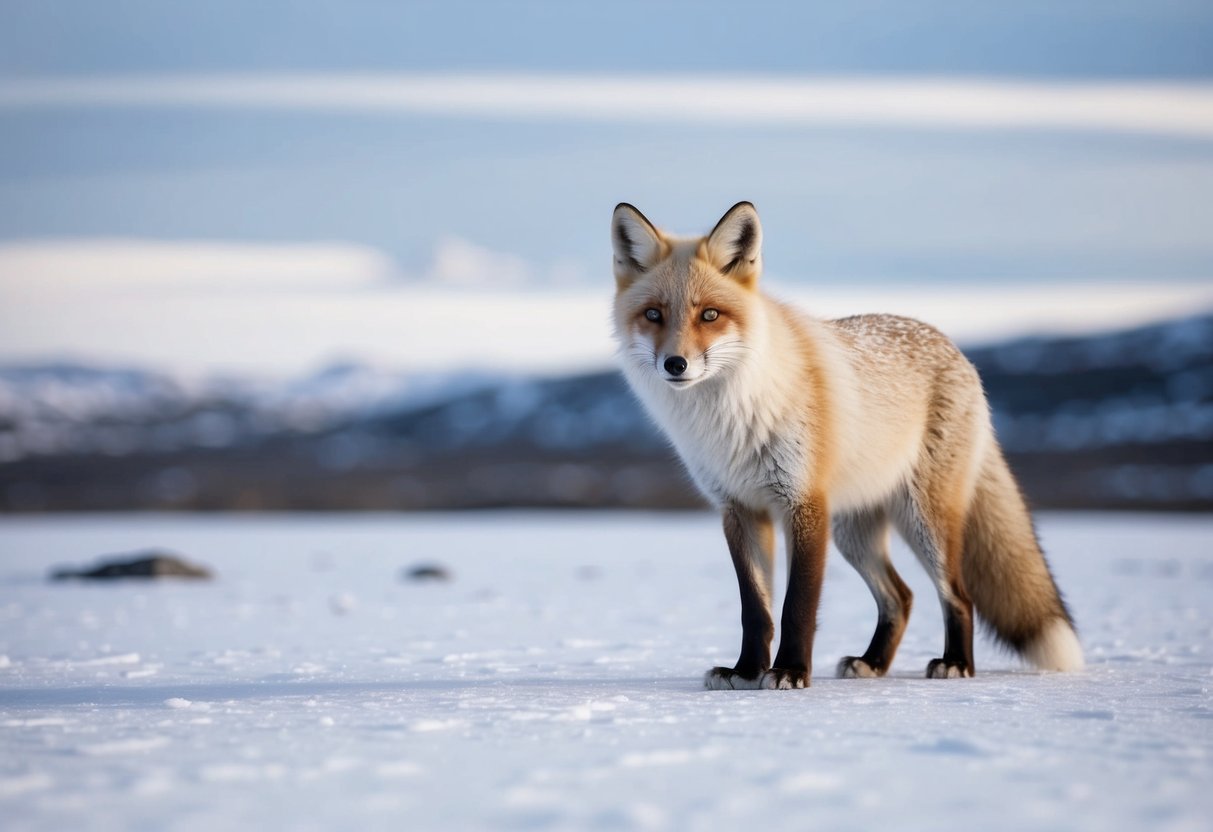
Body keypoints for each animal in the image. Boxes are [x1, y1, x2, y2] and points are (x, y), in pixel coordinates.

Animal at [611, 201, 1083, 690]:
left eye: (709, 315)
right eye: (653, 315)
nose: (675, 364)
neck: (730, 418)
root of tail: (955, 349)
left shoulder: (804, 503)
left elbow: (797, 605)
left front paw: (789, 671)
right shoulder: (740, 509)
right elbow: (755, 609)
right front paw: (746, 672)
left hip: (923, 521)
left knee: (958, 594)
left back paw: (956, 663)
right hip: (854, 531)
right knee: (901, 596)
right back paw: (872, 662)